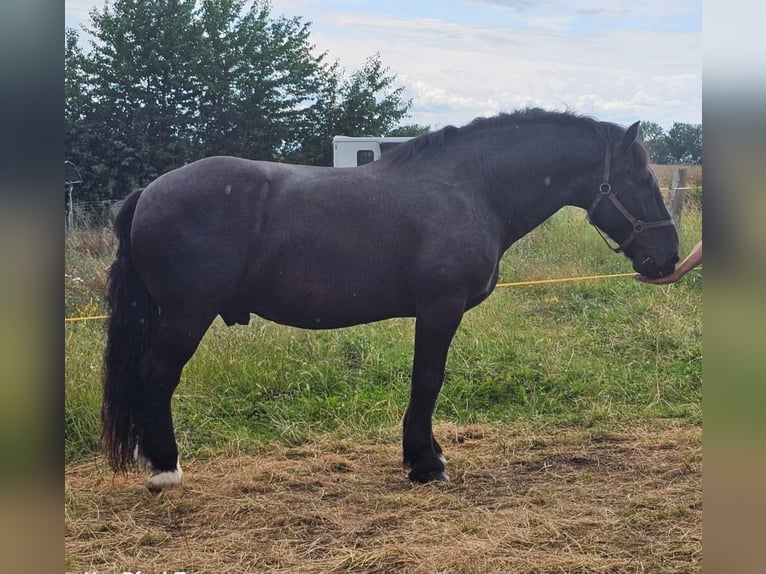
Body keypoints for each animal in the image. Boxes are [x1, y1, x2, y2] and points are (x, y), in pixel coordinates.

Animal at [102, 108, 678, 491]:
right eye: (644, 179)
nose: (669, 256)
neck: (472, 188)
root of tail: (148, 192)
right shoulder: (440, 308)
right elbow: (428, 379)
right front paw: (425, 463)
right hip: (186, 315)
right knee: (156, 376)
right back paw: (165, 470)